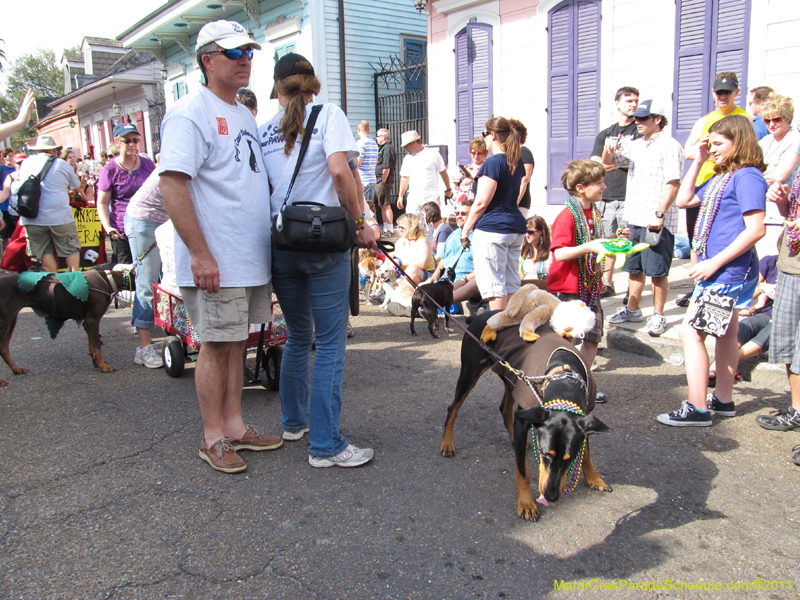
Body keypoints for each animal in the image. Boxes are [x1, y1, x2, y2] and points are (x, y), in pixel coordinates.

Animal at [0, 264, 133, 386]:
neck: (109, 280)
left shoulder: (88, 322)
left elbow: (92, 345)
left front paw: (97, 363)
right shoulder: (93, 320)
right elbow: (97, 346)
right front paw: (103, 366)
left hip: (11, 319)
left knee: (4, 348)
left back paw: (16, 369)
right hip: (4, 321)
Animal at [440, 310, 608, 520]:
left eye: (569, 459)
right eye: (544, 454)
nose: (551, 497)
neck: (563, 377)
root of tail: (480, 315)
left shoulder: (583, 416)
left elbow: (586, 453)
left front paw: (594, 478)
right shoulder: (524, 419)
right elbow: (523, 471)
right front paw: (527, 504)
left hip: (512, 376)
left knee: (504, 408)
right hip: (471, 373)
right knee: (453, 408)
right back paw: (447, 443)